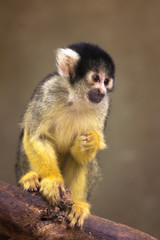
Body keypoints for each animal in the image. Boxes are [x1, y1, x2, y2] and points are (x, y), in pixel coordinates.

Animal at [15, 42, 115, 228]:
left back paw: (78, 203)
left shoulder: (103, 105)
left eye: (106, 81)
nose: (102, 91)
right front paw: (52, 180)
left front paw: (90, 143)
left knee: (85, 161)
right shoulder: (49, 91)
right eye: (96, 78)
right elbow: (36, 136)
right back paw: (30, 178)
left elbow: (81, 154)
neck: (77, 98)